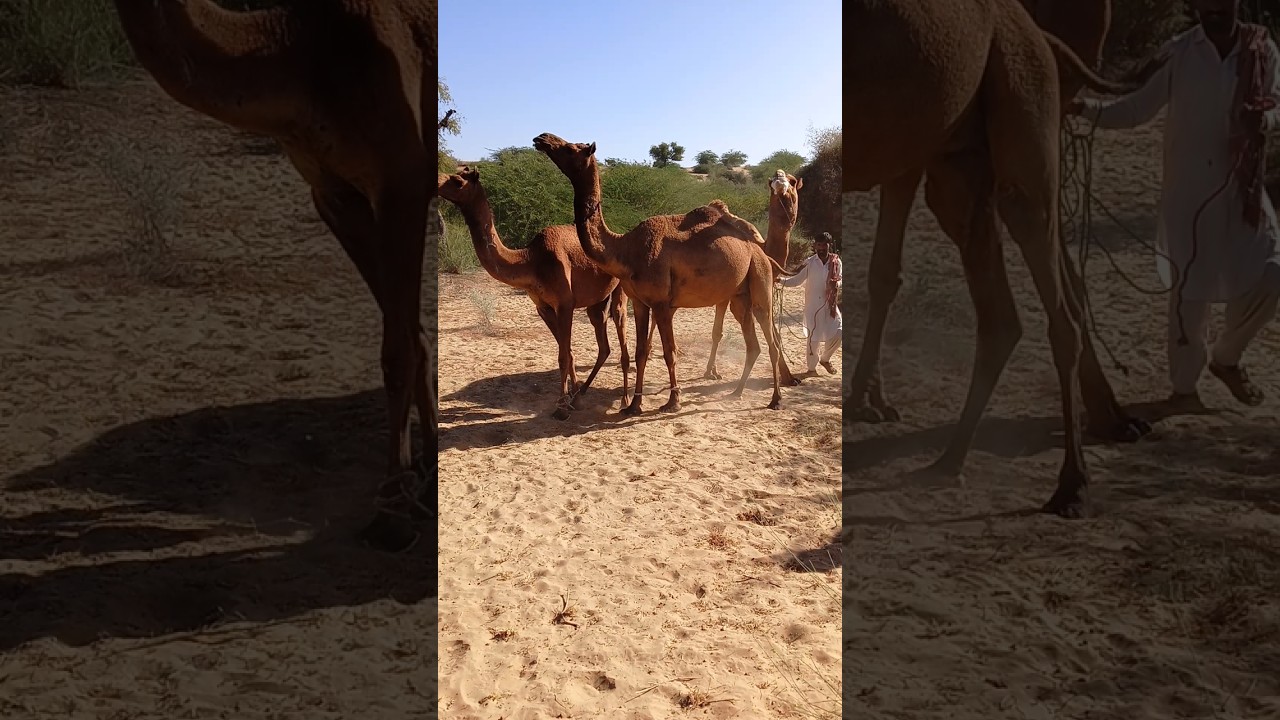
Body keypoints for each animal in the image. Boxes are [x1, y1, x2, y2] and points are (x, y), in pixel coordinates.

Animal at [109, 0, 437, 552]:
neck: (295, 49)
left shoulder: (402, 182)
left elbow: (397, 351)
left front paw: (392, 518)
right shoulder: (334, 193)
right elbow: (411, 336)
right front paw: (426, 481)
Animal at [437, 166, 630, 418]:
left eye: (457, 181)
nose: (437, 182)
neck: (530, 260)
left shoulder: (565, 304)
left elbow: (563, 355)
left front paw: (561, 407)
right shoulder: (543, 307)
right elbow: (567, 352)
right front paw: (573, 400)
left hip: (619, 292)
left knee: (620, 329)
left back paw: (626, 400)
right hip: (595, 303)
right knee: (603, 343)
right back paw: (583, 392)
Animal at [533, 133, 796, 414]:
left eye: (571, 148)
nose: (542, 138)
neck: (625, 249)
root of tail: (760, 251)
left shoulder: (661, 303)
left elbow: (669, 352)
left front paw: (673, 402)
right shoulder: (640, 301)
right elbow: (641, 352)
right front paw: (633, 405)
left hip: (760, 281)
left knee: (771, 341)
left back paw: (776, 399)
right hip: (739, 296)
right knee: (753, 344)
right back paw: (736, 391)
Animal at [845, 0, 1152, 518]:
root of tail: (1033, 30)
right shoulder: (901, 149)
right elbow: (883, 271)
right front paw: (867, 402)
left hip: (1017, 95)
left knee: (1052, 296)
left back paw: (1073, 484)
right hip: (963, 152)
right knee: (1005, 309)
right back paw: (950, 462)